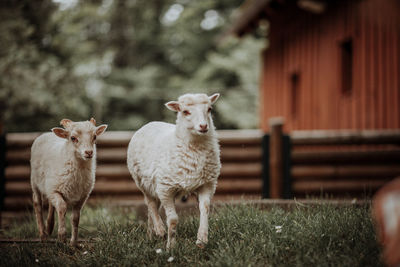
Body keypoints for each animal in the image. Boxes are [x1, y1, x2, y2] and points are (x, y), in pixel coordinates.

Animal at [29, 118, 107, 248]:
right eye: (73, 138)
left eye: (95, 136)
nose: (89, 152)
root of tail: (46, 134)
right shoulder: (55, 190)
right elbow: (61, 208)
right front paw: (62, 237)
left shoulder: (82, 196)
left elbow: (75, 218)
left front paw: (73, 243)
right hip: (35, 182)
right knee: (37, 204)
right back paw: (43, 235)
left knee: (51, 205)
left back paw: (49, 227)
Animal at [127, 92, 222, 249]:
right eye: (185, 112)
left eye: (209, 109)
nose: (203, 126)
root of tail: (150, 123)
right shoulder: (166, 188)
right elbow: (172, 219)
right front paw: (171, 246)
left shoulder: (207, 184)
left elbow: (205, 209)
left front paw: (201, 240)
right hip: (142, 181)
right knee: (150, 204)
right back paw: (159, 229)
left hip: (154, 185)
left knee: (152, 207)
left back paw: (150, 234)